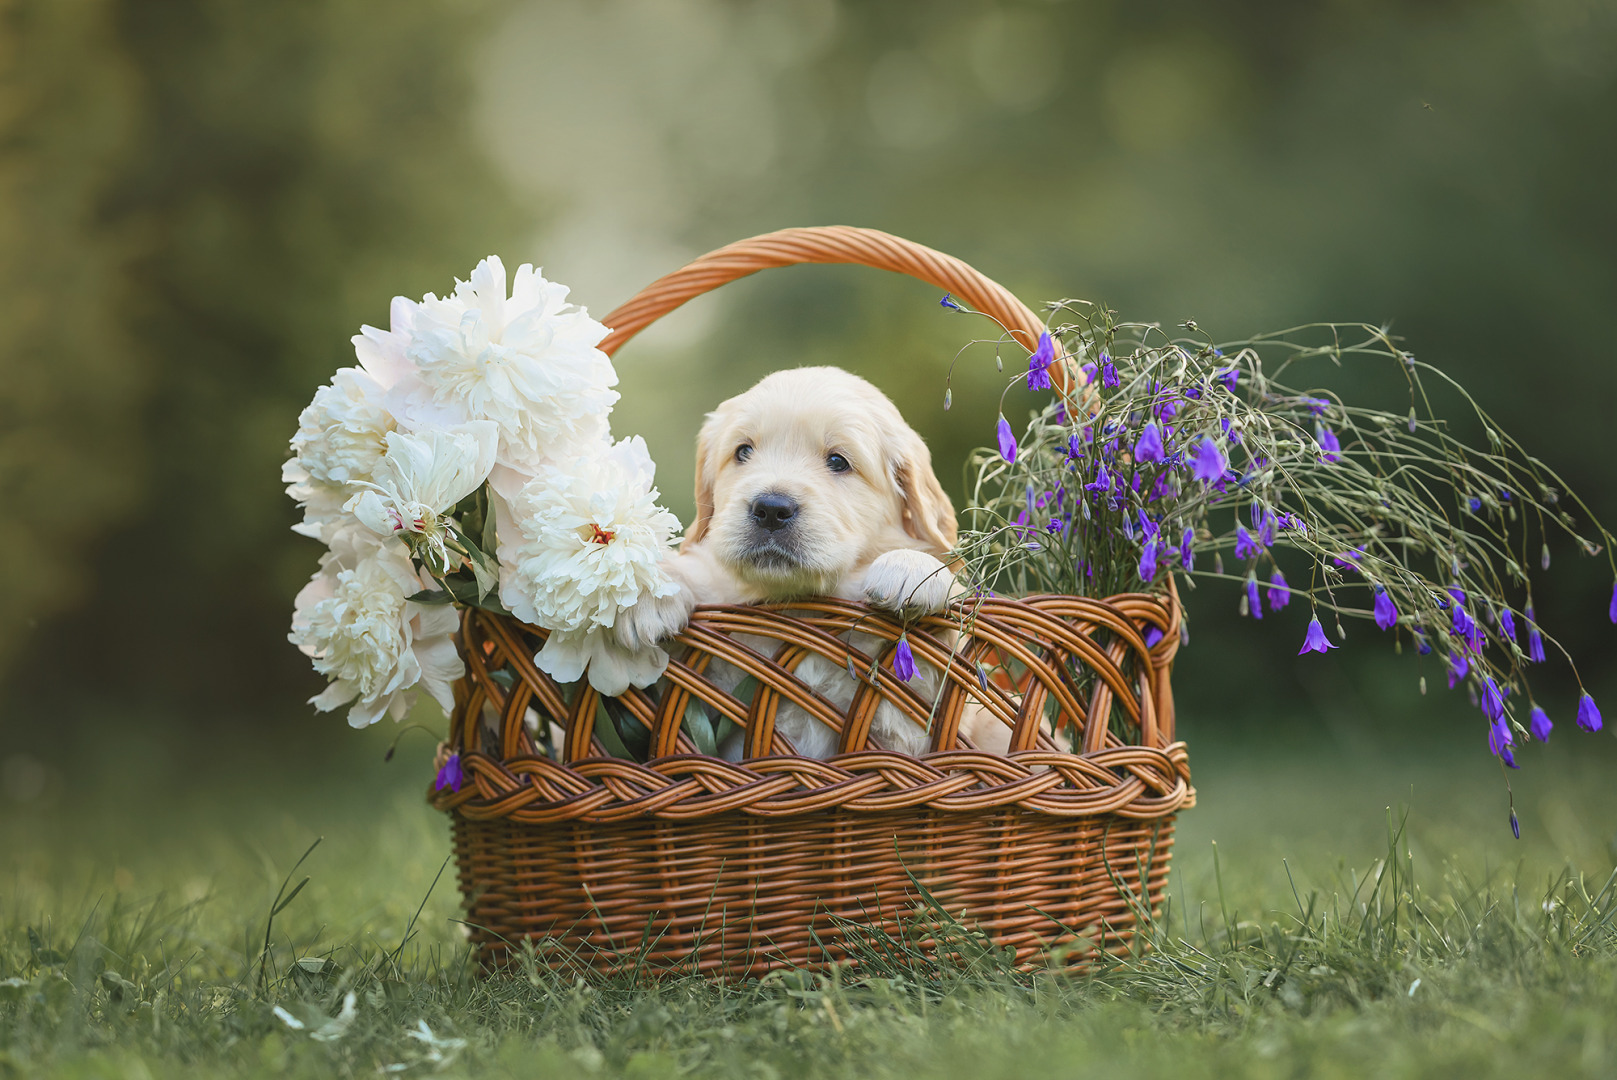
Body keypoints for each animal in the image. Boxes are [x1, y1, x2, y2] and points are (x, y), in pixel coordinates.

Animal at [620, 371, 1009, 759]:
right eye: (743, 451)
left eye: (838, 461)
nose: (771, 509)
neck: (798, 605)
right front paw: (646, 594)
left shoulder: (918, 731)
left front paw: (911, 569)